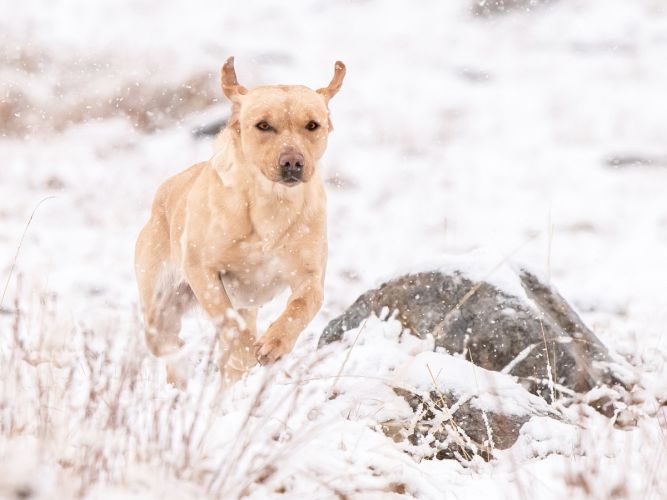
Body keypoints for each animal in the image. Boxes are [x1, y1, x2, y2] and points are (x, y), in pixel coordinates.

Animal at [134, 58, 348, 386]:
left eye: (312, 125)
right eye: (263, 125)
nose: (293, 162)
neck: (270, 204)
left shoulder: (309, 276)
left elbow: (303, 305)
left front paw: (275, 343)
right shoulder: (203, 271)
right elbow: (227, 319)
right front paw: (246, 350)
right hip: (160, 304)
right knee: (167, 343)